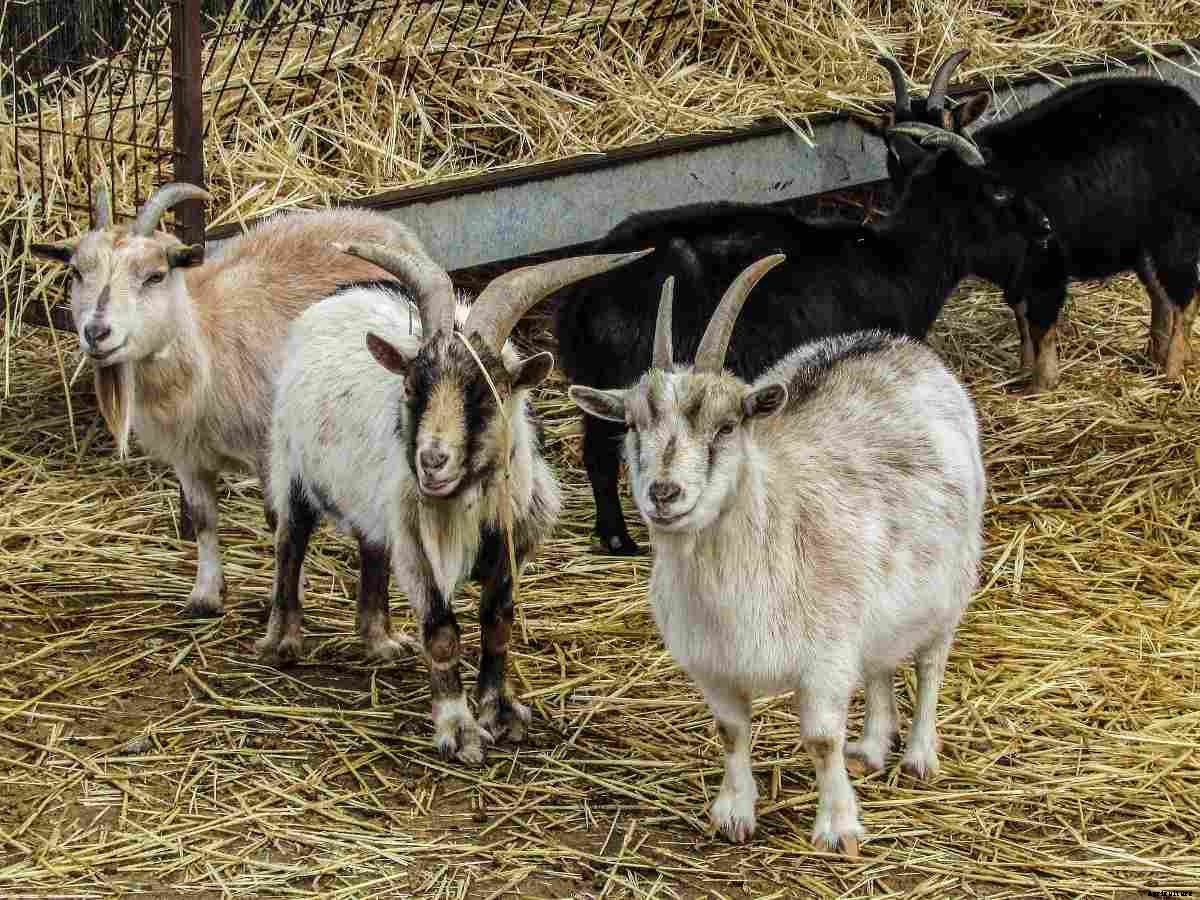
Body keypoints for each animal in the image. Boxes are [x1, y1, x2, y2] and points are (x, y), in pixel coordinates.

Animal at [29, 184, 426, 617]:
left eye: (155, 275)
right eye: (76, 272)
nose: (97, 332)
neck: (205, 347)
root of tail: (381, 222)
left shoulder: (268, 448)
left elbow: (278, 521)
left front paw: (287, 595)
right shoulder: (186, 456)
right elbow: (204, 518)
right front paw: (204, 595)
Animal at [263, 242, 650, 764]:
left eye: (488, 393)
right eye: (413, 386)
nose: (432, 461)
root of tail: (337, 295)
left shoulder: (511, 544)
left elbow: (498, 623)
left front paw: (501, 712)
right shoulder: (421, 551)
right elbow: (443, 634)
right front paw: (459, 729)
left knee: (371, 547)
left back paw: (380, 640)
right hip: (292, 463)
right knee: (291, 541)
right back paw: (284, 639)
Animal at [555, 142, 1053, 554]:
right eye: (997, 193)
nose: (1045, 226)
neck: (898, 263)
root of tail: (579, 300)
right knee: (601, 457)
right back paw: (619, 540)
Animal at [569, 256, 985, 854]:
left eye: (727, 425)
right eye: (629, 424)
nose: (664, 493)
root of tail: (894, 343)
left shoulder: (826, 657)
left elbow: (821, 739)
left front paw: (839, 827)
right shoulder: (712, 665)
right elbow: (731, 731)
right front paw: (733, 812)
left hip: (951, 583)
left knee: (930, 663)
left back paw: (918, 755)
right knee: (882, 664)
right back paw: (872, 748)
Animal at [855, 51, 1200, 388]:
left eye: (946, 124)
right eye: (890, 147)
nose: (920, 170)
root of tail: (1187, 108)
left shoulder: (1046, 263)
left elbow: (1040, 326)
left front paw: (1041, 384)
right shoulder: (1014, 274)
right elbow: (1021, 318)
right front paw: (1024, 369)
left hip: (1177, 230)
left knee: (1185, 293)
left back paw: (1171, 371)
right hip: (1142, 239)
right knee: (1160, 294)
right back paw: (1155, 356)